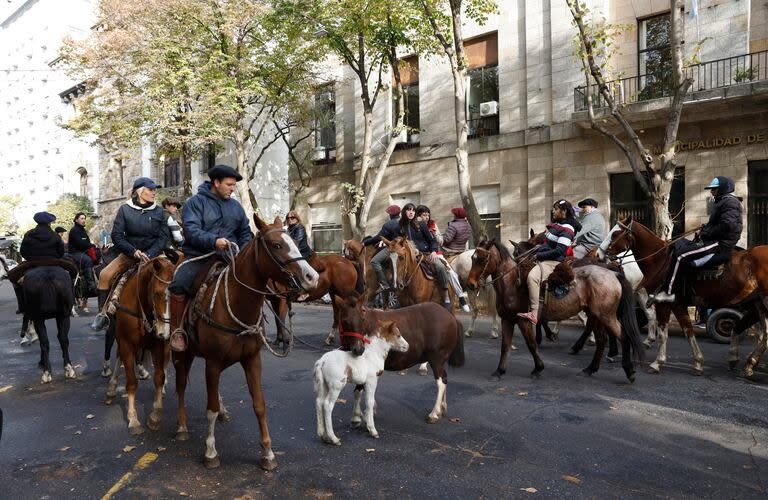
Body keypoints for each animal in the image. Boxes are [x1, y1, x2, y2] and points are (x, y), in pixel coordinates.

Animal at [103, 254, 180, 434]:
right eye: (157, 293)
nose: (165, 332)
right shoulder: (126, 343)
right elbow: (131, 382)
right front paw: (133, 419)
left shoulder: (159, 345)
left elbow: (159, 377)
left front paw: (155, 416)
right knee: (119, 357)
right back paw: (111, 389)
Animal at [172, 215, 320, 468]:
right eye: (276, 245)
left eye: (294, 240)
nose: (312, 278)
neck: (235, 303)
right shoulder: (213, 362)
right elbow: (210, 408)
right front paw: (210, 452)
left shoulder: (251, 360)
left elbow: (259, 405)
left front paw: (267, 453)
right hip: (182, 353)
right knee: (180, 386)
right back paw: (180, 427)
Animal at [340, 294, 464, 424]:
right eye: (345, 321)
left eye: (362, 319)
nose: (359, 349)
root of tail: (451, 318)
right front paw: (370, 409)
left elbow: (358, 390)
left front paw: (356, 416)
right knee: (444, 378)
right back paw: (442, 407)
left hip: (437, 359)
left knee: (441, 382)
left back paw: (434, 413)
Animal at [608, 217, 768, 376]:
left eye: (615, 234)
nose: (603, 252)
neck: (660, 261)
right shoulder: (678, 304)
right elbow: (688, 331)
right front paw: (698, 362)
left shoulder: (663, 304)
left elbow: (663, 333)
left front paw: (657, 362)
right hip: (756, 302)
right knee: (753, 329)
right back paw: (746, 362)